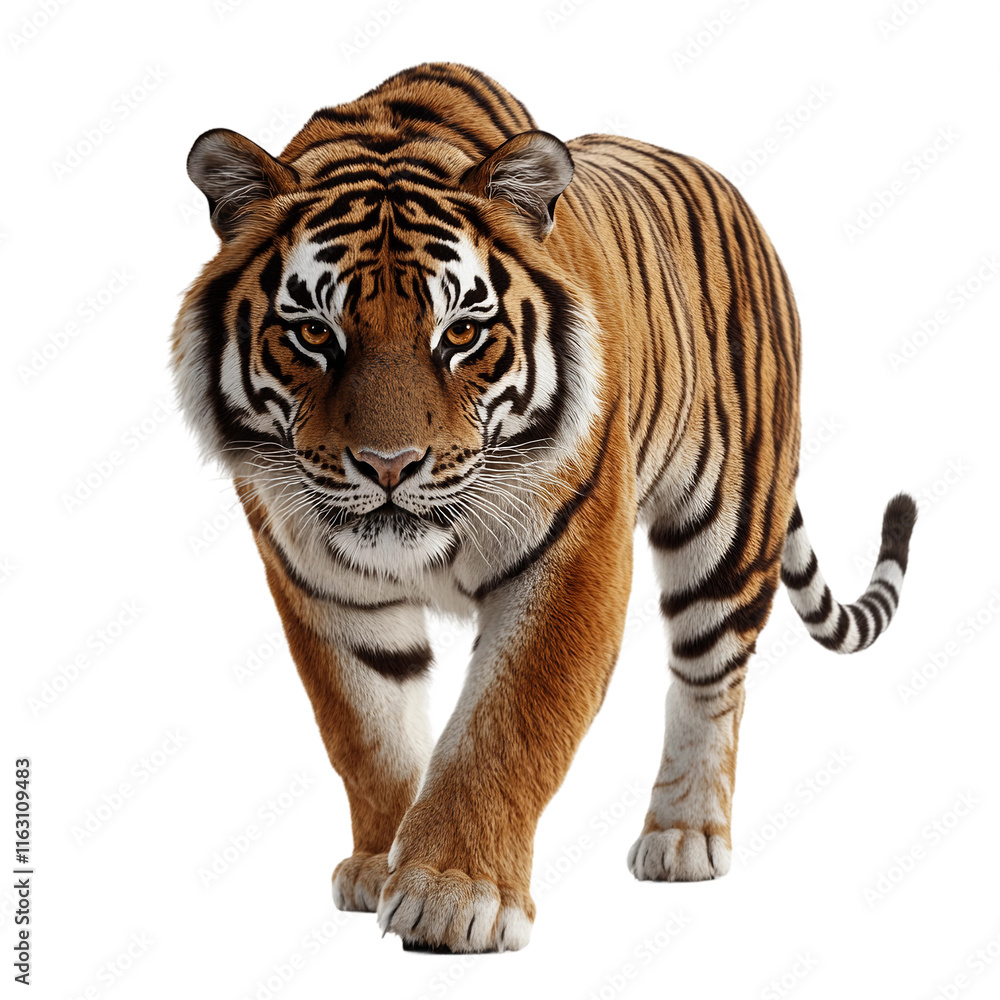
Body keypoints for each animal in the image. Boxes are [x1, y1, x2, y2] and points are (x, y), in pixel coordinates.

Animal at [172, 62, 917, 953]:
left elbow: (508, 724)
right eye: (315, 333)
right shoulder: (323, 585)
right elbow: (369, 732)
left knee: (712, 677)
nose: (389, 466)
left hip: (729, 525)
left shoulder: (572, 554)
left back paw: (685, 835)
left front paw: (453, 895)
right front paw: (380, 862)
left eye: (460, 334)